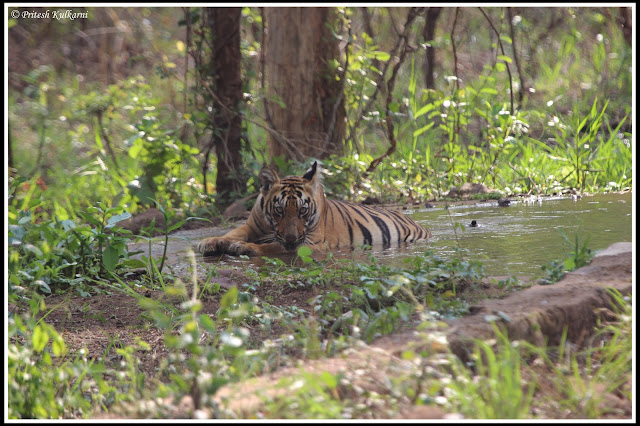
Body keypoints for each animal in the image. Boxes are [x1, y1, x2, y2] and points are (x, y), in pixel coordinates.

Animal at [198, 162, 432, 256]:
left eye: (303, 211)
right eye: (279, 210)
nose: (291, 238)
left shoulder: (310, 242)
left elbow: (273, 246)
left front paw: (244, 247)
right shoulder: (252, 225)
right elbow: (233, 232)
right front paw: (210, 242)